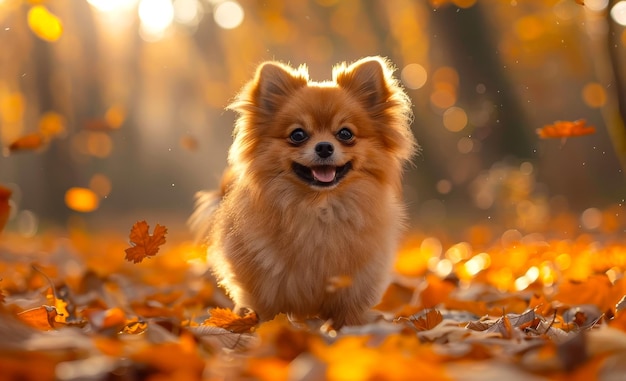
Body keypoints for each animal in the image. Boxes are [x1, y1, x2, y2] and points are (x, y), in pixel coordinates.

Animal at [190, 55, 414, 326]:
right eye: (298, 135)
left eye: (345, 133)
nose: (324, 147)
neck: (319, 208)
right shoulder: (265, 288)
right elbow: (270, 315)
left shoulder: (355, 284)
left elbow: (348, 315)